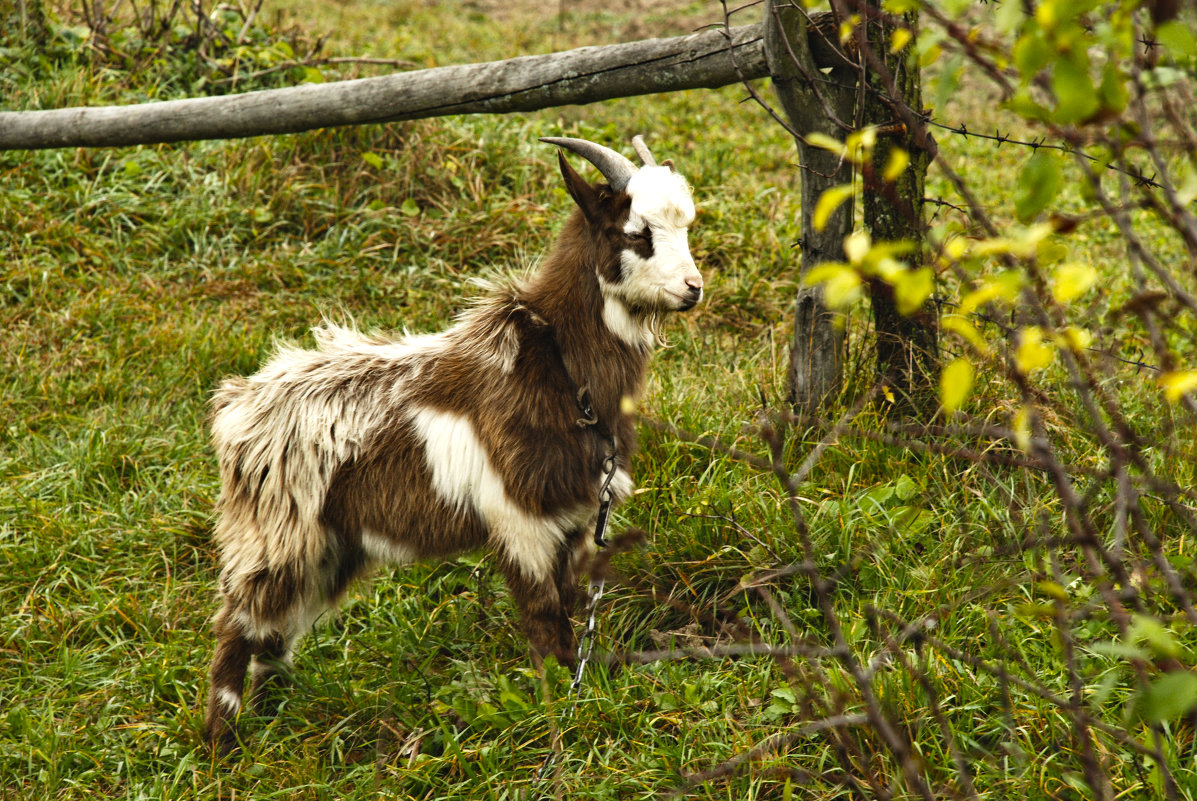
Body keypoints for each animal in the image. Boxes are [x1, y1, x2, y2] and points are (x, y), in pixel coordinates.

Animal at [202, 134, 703, 751]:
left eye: (687, 226)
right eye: (635, 233)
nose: (693, 289)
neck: (558, 366)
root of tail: (237, 408)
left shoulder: (577, 517)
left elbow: (570, 603)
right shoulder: (519, 518)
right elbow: (545, 620)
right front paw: (561, 714)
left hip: (330, 546)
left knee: (275, 633)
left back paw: (277, 716)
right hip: (275, 535)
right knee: (239, 624)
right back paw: (223, 740)